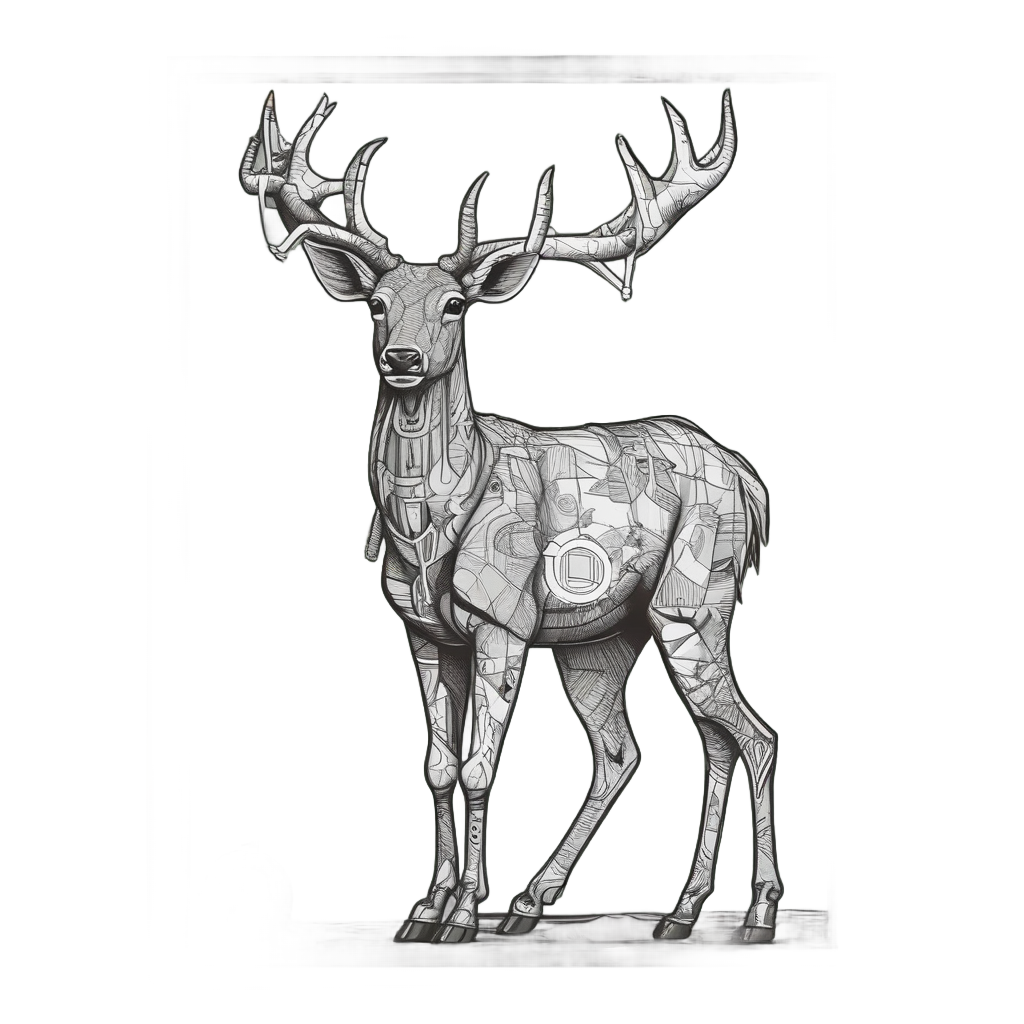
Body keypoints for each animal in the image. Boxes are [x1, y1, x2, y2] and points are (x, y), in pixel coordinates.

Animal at [239, 89, 781, 945]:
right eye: (379, 304)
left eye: (456, 303)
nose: (400, 359)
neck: (429, 532)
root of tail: (743, 477)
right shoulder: (425, 634)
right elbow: (434, 767)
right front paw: (424, 907)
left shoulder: (504, 620)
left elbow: (479, 765)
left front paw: (462, 912)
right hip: (600, 643)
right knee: (650, 747)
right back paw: (621, 905)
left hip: (694, 597)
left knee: (750, 735)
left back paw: (754, 907)